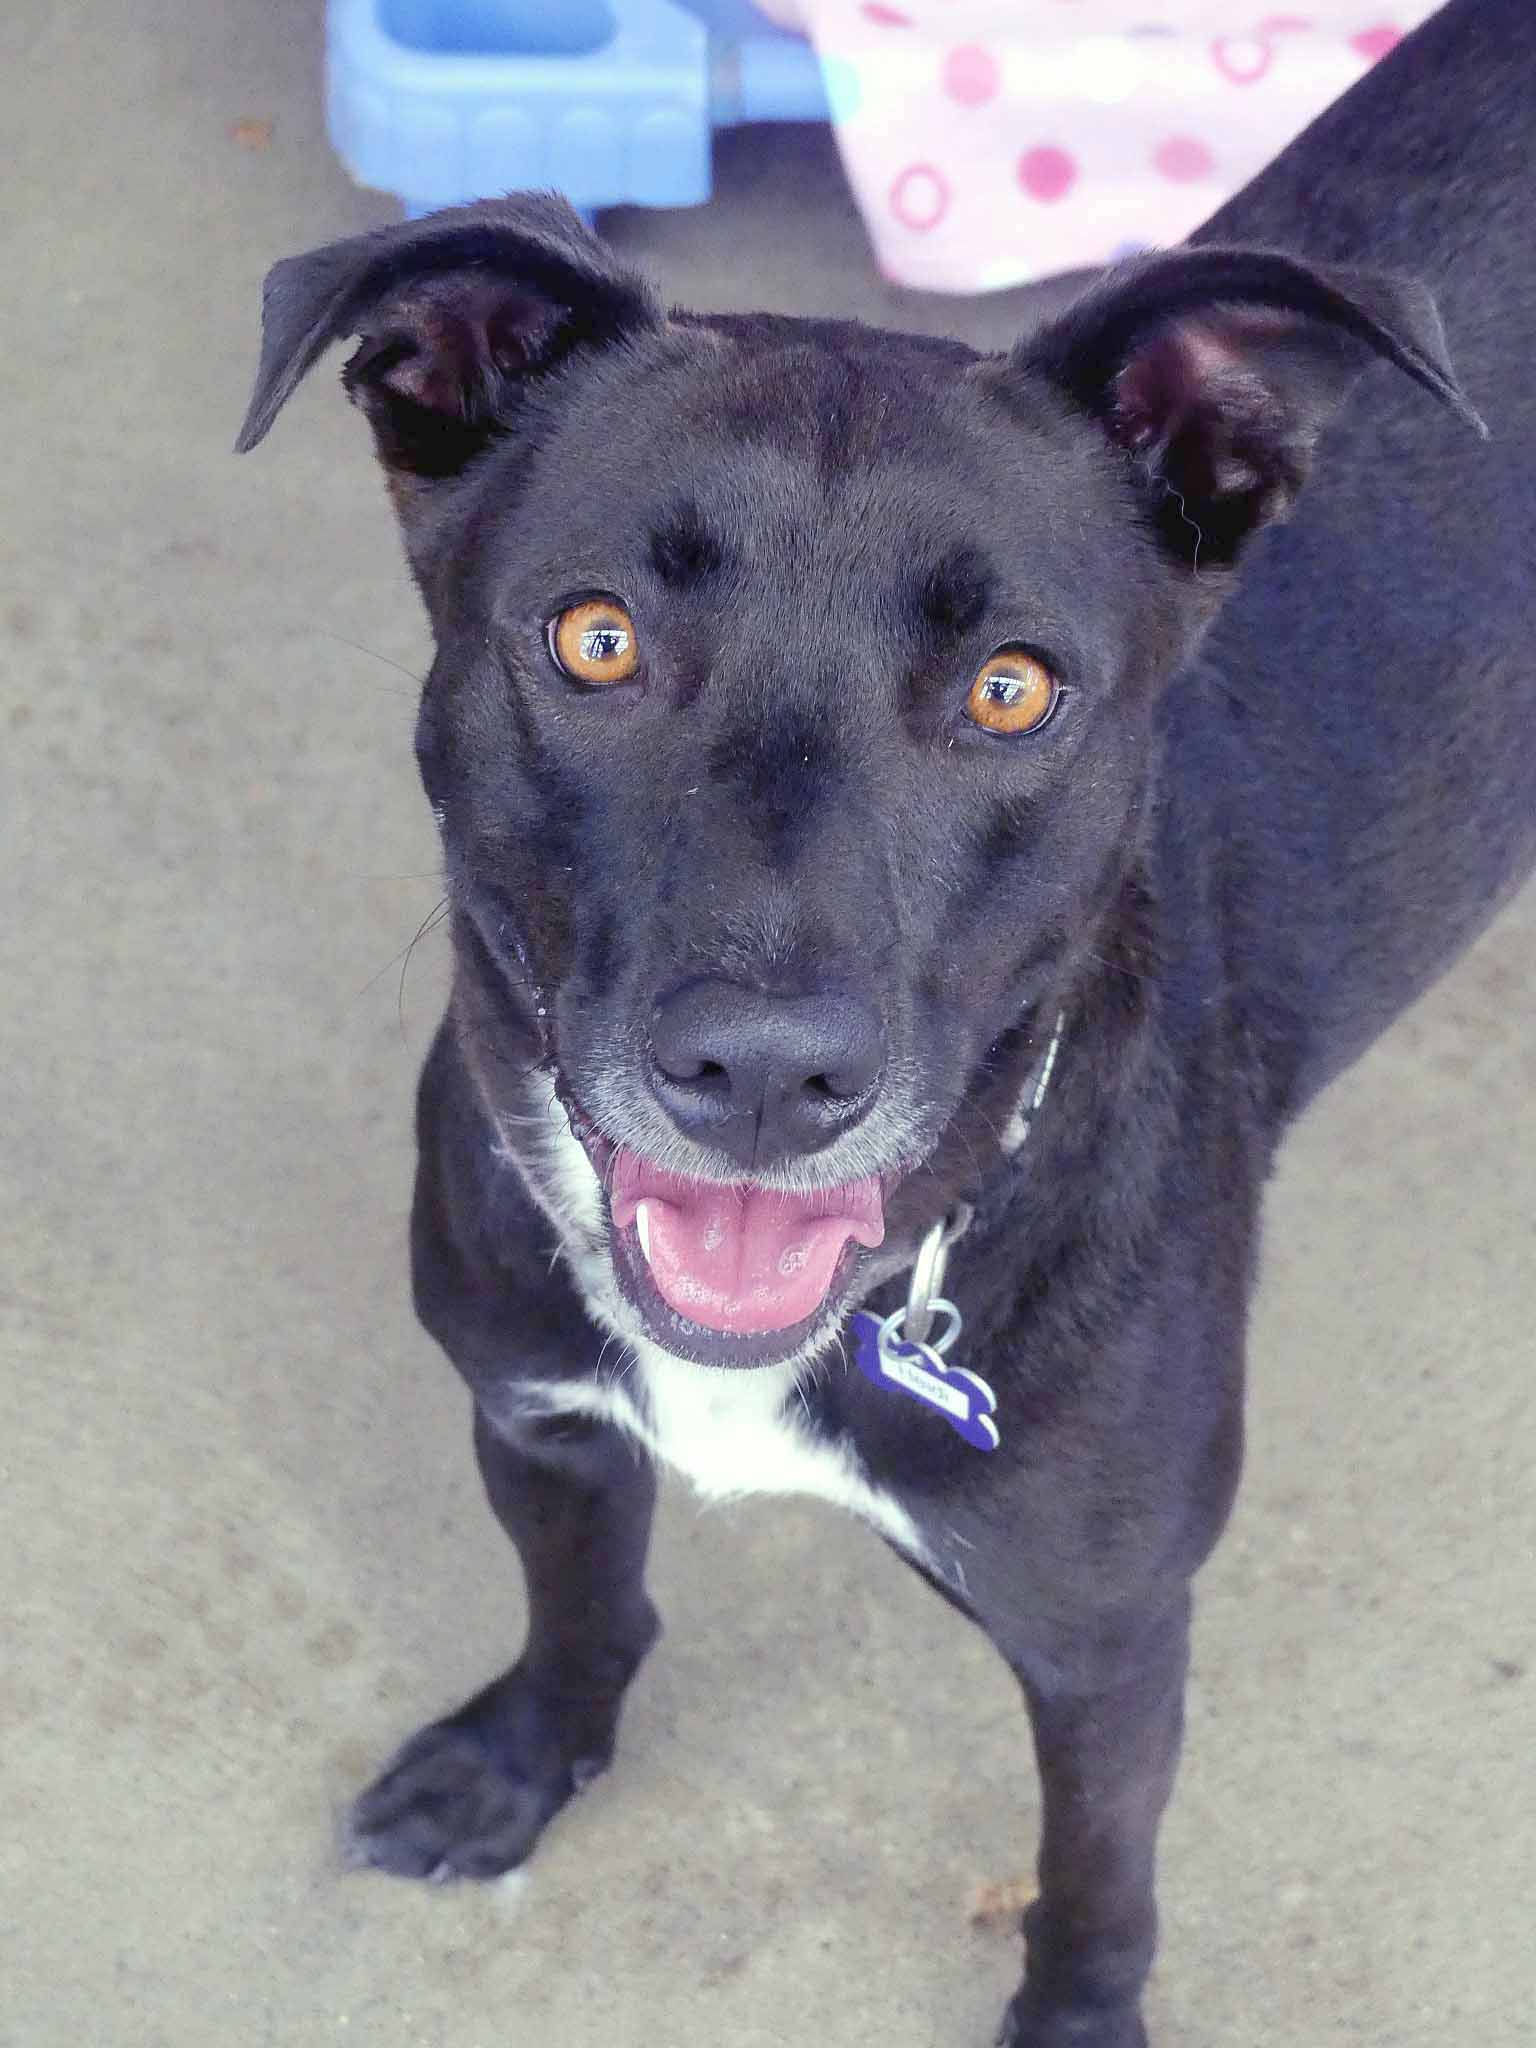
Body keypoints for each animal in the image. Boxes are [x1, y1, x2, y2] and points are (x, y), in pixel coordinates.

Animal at [236, 2, 1536, 2039]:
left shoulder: (1107, 1635)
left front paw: (1077, 2019)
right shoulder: (535, 1415)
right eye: (596, 639)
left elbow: (1096, 1875)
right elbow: (579, 1604)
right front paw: (523, 1761)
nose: (765, 1077)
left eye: (1012, 688)